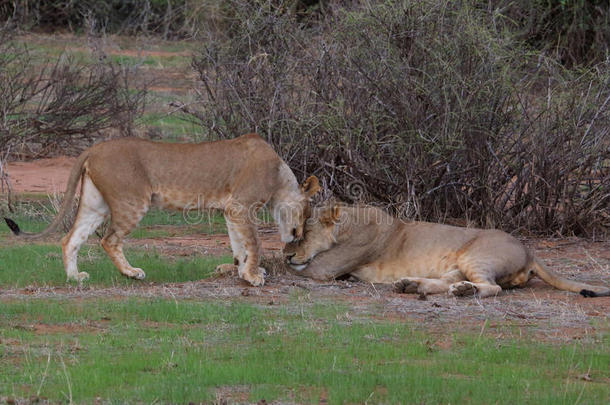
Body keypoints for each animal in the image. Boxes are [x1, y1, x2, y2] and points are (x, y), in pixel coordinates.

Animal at [4, 134, 318, 286]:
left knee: (70, 239)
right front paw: (253, 276)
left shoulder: (231, 210)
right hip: (132, 201)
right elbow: (253, 243)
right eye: (307, 214)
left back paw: (74, 278)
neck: (280, 173)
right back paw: (131, 273)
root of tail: (94, 148)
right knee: (109, 240)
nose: (298, 235)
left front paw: (243, 271)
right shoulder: (242, 205)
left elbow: (239, 245)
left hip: (95, 204)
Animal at [284, 204, 608, 296]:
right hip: (458, 265)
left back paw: (464, 292)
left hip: (475, 257)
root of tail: (530, 252)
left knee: (492, 288)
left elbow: (301, 268)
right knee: (445, 282)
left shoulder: (326, 268)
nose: (288, 254)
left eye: (305, 233)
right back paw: (411, 285)